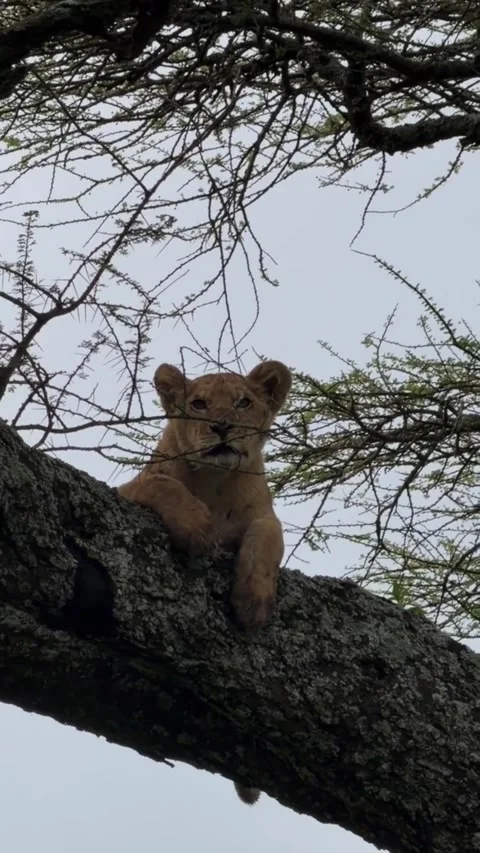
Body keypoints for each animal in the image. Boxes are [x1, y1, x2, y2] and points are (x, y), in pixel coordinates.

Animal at [118, 358, 292, 805]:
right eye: (198, 404)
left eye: (243, 402)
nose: (222, 427)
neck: (216, 483)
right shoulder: (128, 488)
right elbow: (164, 484)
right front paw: (197, 529)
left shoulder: (266, 517)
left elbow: (266, 539)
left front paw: (253, 603)